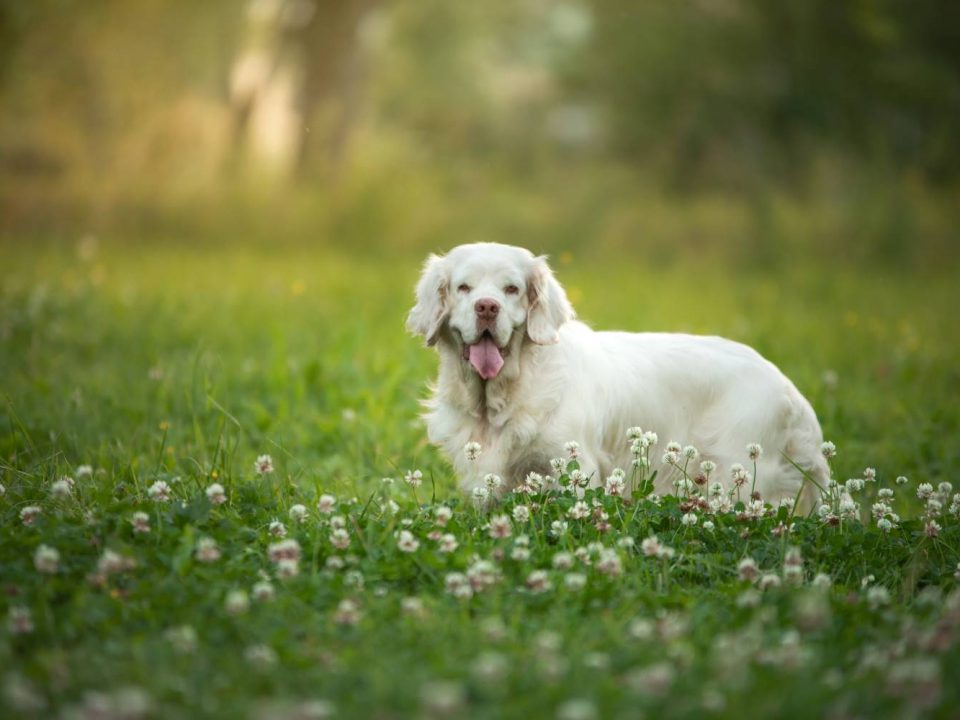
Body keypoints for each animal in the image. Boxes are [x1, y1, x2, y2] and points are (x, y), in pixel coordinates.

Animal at [404, 245, 824, 504]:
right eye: (463, 287)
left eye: (512, 289)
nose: (487, 307)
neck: (505, 394)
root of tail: (788, 387)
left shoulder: (575, 467)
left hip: (737, 471)